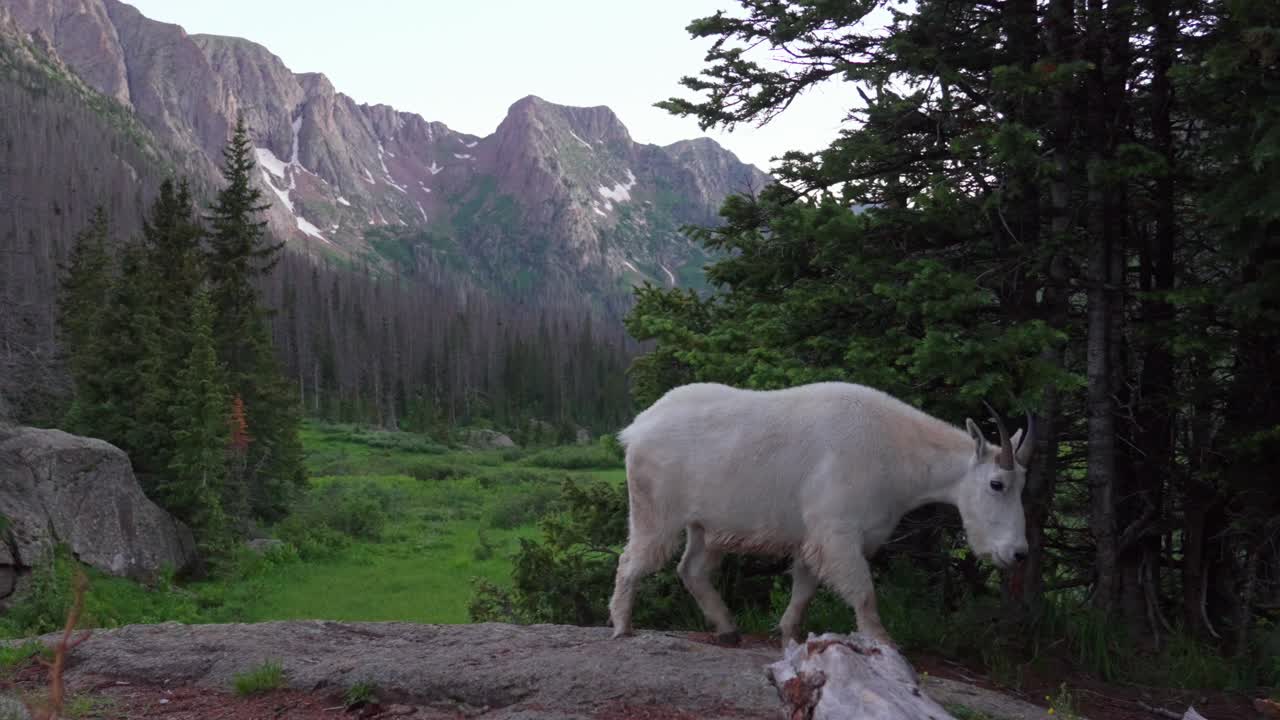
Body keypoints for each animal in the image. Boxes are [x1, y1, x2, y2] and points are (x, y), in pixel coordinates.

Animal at [608, 381, 1033, 646]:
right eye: (997, 484)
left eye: (1022, 483)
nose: (1018, 554)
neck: (896, 453)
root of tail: (636, 428)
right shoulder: (837, 532)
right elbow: (863, 592)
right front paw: (883, 642)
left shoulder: (814, 538)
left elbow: (805, 588)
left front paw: (789, 635)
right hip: (655, 510)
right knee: (632, 559)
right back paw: (623, 626)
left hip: (707, 525)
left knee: (692, 569)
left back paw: (727, 629)